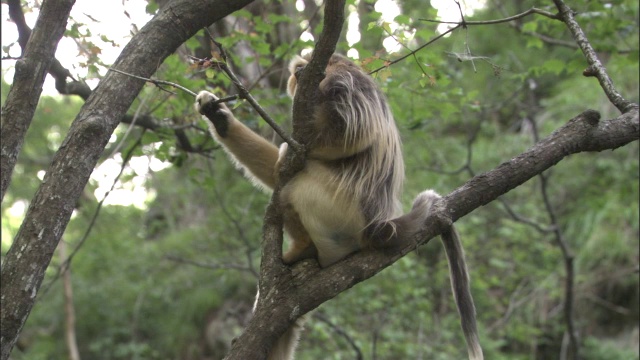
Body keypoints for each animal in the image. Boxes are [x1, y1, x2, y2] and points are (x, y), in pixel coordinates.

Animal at [196, 53, 484, 360]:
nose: (292, 82)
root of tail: (379, 225)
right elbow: (278, 169)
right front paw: (219, 118)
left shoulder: (343, 80)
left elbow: (355, 132)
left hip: (342, 209)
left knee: (295, 185)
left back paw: (303, 246)